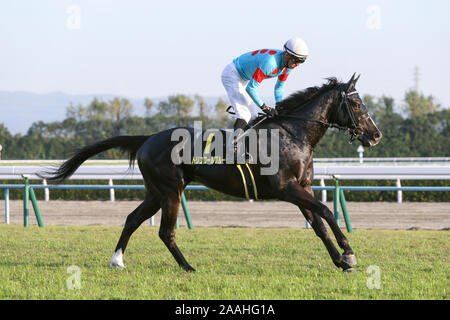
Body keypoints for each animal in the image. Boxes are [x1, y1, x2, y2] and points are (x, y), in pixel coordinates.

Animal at [40, 74, 382, 272]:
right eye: (356, 105)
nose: (375, 135)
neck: (292, 133)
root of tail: (147, 138)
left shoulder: (303, 188)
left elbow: (319, 224)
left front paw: (340, 261)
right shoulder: (286, 188)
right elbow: (326, 211)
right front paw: (349, 253)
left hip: (156, 192)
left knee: (132, 219)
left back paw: (117, 261)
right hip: (171, 190)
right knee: (165, 231)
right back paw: (188, 267)